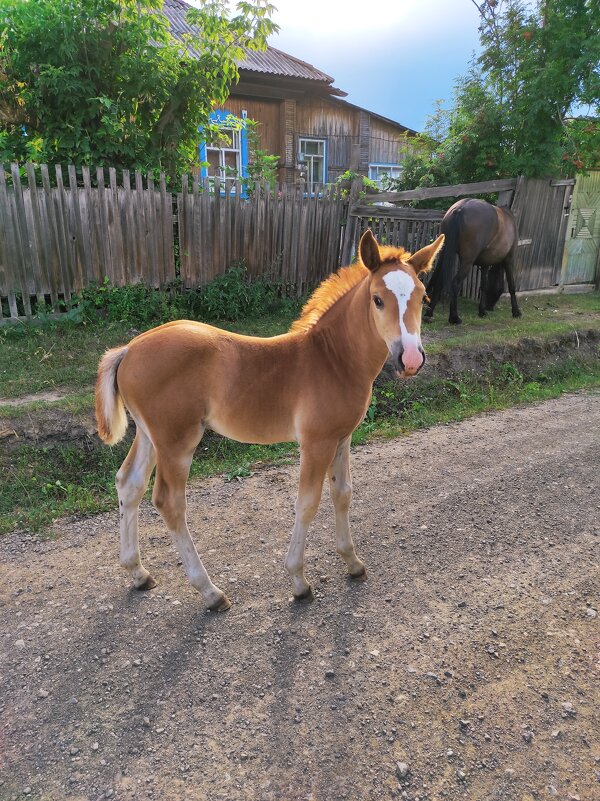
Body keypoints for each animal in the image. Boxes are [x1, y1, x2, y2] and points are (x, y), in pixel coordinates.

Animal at [96, 228, 442, 608]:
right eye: (378, 299)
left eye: (423, 297)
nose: (410, 359)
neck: (332, 358)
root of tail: (129, 349)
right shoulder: (316, 442)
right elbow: (307, 503)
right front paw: (298, 581)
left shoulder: (342, 437)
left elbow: (343, 494)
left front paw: (352, 563)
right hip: (176, 442)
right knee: (168, 502)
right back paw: (210, 591)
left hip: (149, 436)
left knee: (129, 484)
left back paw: (138, 573)